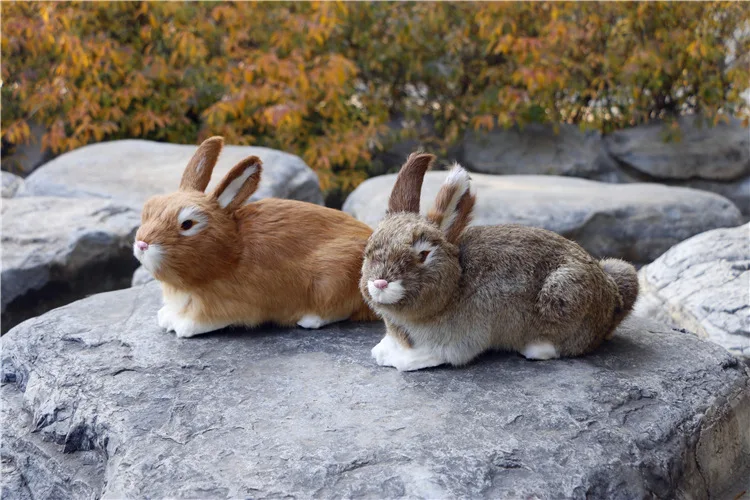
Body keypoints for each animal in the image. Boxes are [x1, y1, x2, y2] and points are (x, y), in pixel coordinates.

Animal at [133, 136, 377, 338]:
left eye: (187, 224)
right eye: (149, 208)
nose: (142, 244)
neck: (231, 253)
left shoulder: (227, 305)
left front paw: (183, 327)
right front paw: (166, 317)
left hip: (331, 281)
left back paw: (309, 319)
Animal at [359, 152, 639, 371]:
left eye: (423, 254)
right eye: (368, 250)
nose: (380, 282)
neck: (455, 283)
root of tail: (611, 297)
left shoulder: (460, 340)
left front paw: (406, 360)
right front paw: (383, 353)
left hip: (563, 292)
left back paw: (535, 349)